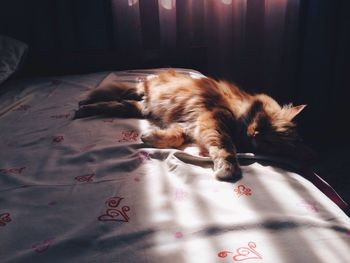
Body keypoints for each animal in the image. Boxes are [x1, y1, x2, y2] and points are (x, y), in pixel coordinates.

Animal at [74, 70, 306, 183]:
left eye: (269, 142)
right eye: (263, 122)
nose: (255, 133)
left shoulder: (191, 125)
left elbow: (175, 137)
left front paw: (150, 137)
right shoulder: (213, 119)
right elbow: (225, 148)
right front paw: (228, 169)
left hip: (138, 109)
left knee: (115, 103)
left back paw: (83, 109)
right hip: (141, 93)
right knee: (121, 92)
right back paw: (83, 103)